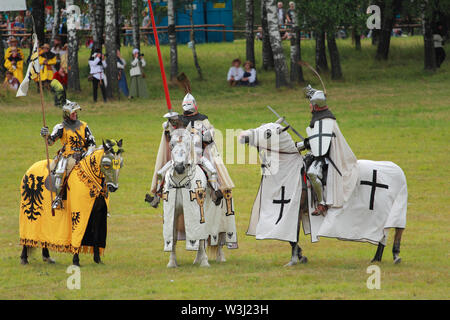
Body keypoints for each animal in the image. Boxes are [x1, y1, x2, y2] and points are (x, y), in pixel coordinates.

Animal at [239, 120, 408, 264]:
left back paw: (396, 256)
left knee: (397, 229)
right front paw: (301, 256)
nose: (243, 136)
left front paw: (295, 259)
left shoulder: (293, 210)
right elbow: (291, 239)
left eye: (268, 133)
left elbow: (292, 238)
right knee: (384, 232)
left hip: (395, 209)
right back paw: (376, 258)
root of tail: (398, 171)